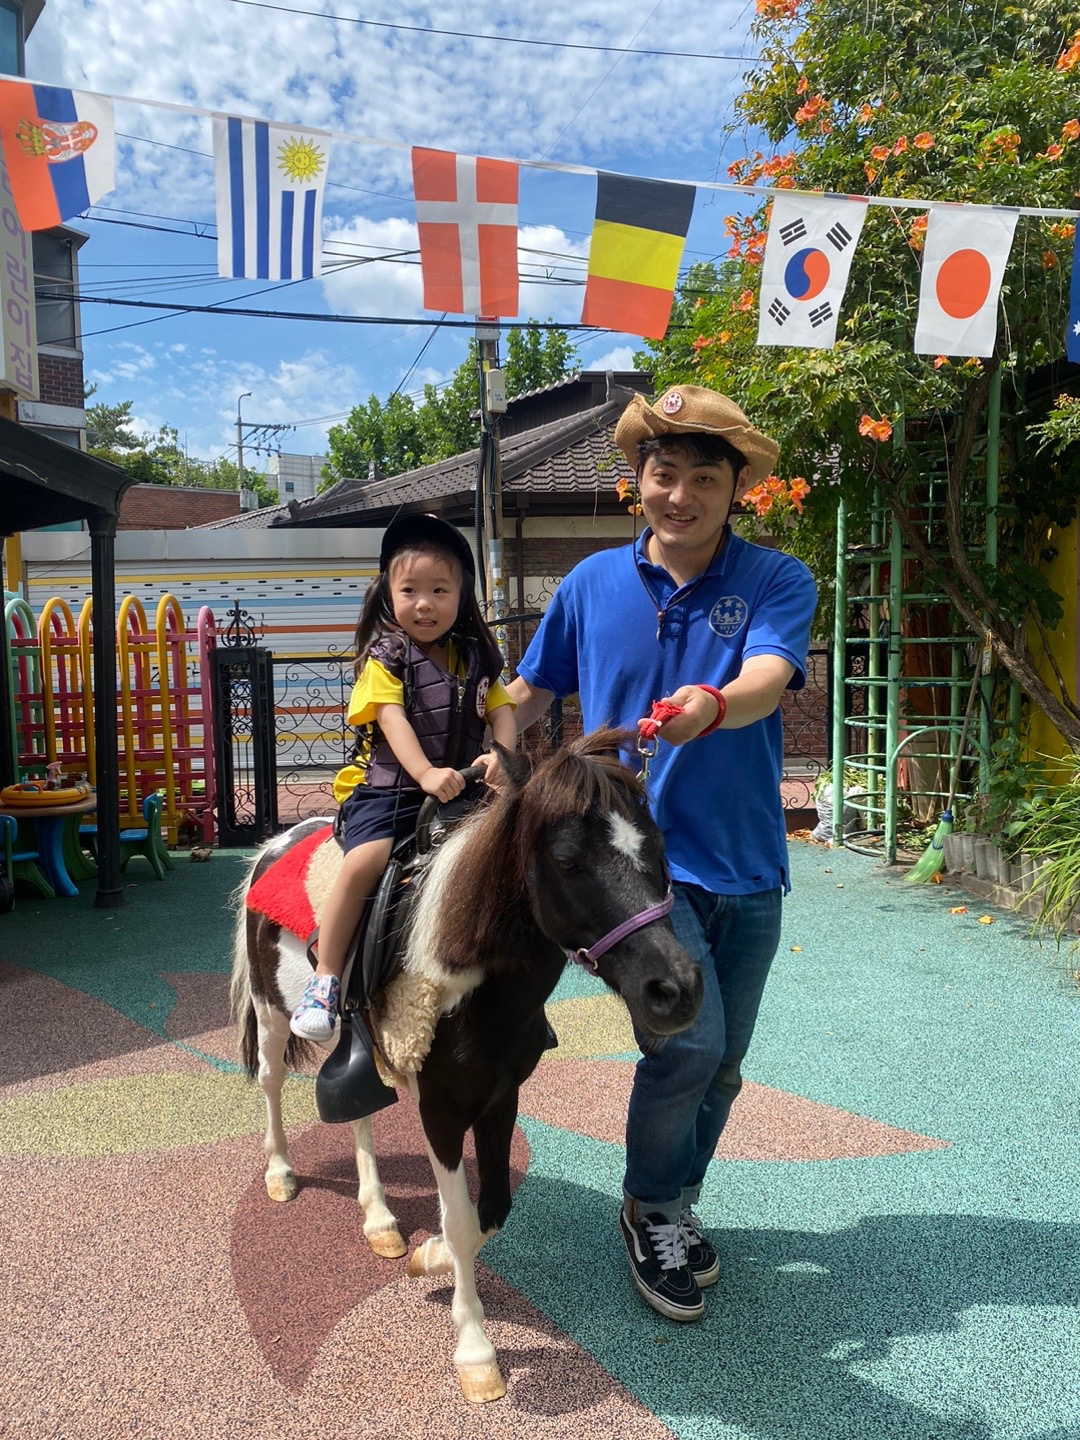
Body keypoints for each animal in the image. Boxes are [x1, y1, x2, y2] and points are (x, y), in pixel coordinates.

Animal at [228, 725, 705, 1399]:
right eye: (567, 859)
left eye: (658, 848)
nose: (676, 990)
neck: (479, 980)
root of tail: (274, 844)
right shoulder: (444, 1108)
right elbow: (459, 1220)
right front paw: (475, 1349)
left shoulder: (501, 1096)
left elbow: (492, 1209)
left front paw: (428, 1256)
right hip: (271, 1011)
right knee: (271, 1082)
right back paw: (279, 1173)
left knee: (358, 1110)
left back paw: (379, 1218)